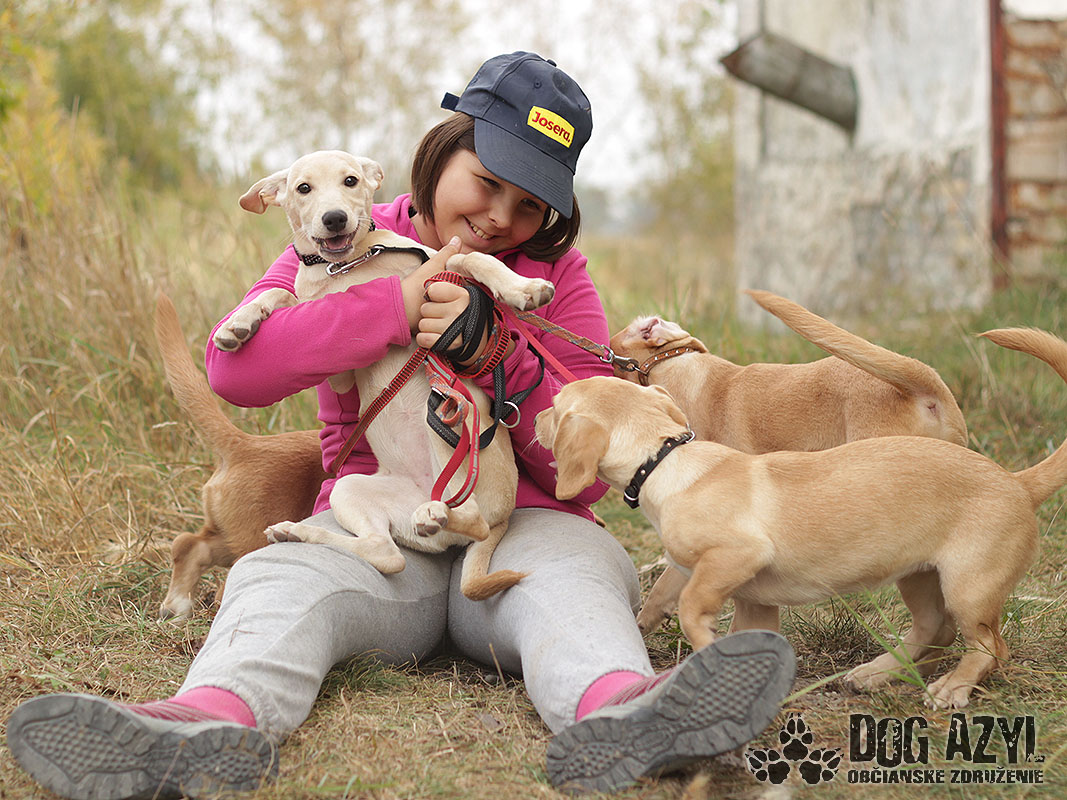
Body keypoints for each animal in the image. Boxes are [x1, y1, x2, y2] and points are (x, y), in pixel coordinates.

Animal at [154, 292, 326, 621]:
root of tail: (243, 444)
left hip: (233, 532)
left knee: (189, 545)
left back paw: (176, 606)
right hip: (256, 537)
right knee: (226, 587)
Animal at [215, 150, 554, 600]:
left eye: (351, 181)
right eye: (303, 188)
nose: (335, 218)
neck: (347, 267)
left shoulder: (440, 263)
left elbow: (470, 256)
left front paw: (523, 288)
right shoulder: (340, 372)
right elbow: (284, 294)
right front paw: (240, 323)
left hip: (453, 418)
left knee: (473, 519)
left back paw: (437, 513)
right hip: (355, 487)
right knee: (388, 552)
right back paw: (301, 533)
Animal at [536, 327, 1067, 709]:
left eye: (557, 408)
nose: (533, 415)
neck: (665, 460)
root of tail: (1017, 481)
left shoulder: (735, 557)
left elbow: (688, 606)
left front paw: (705, 645)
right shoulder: (753, 600)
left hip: (968, 585)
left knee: (989, 646)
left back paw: (952, 688)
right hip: (919, 574)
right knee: (936, 631)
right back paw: (876, 673)